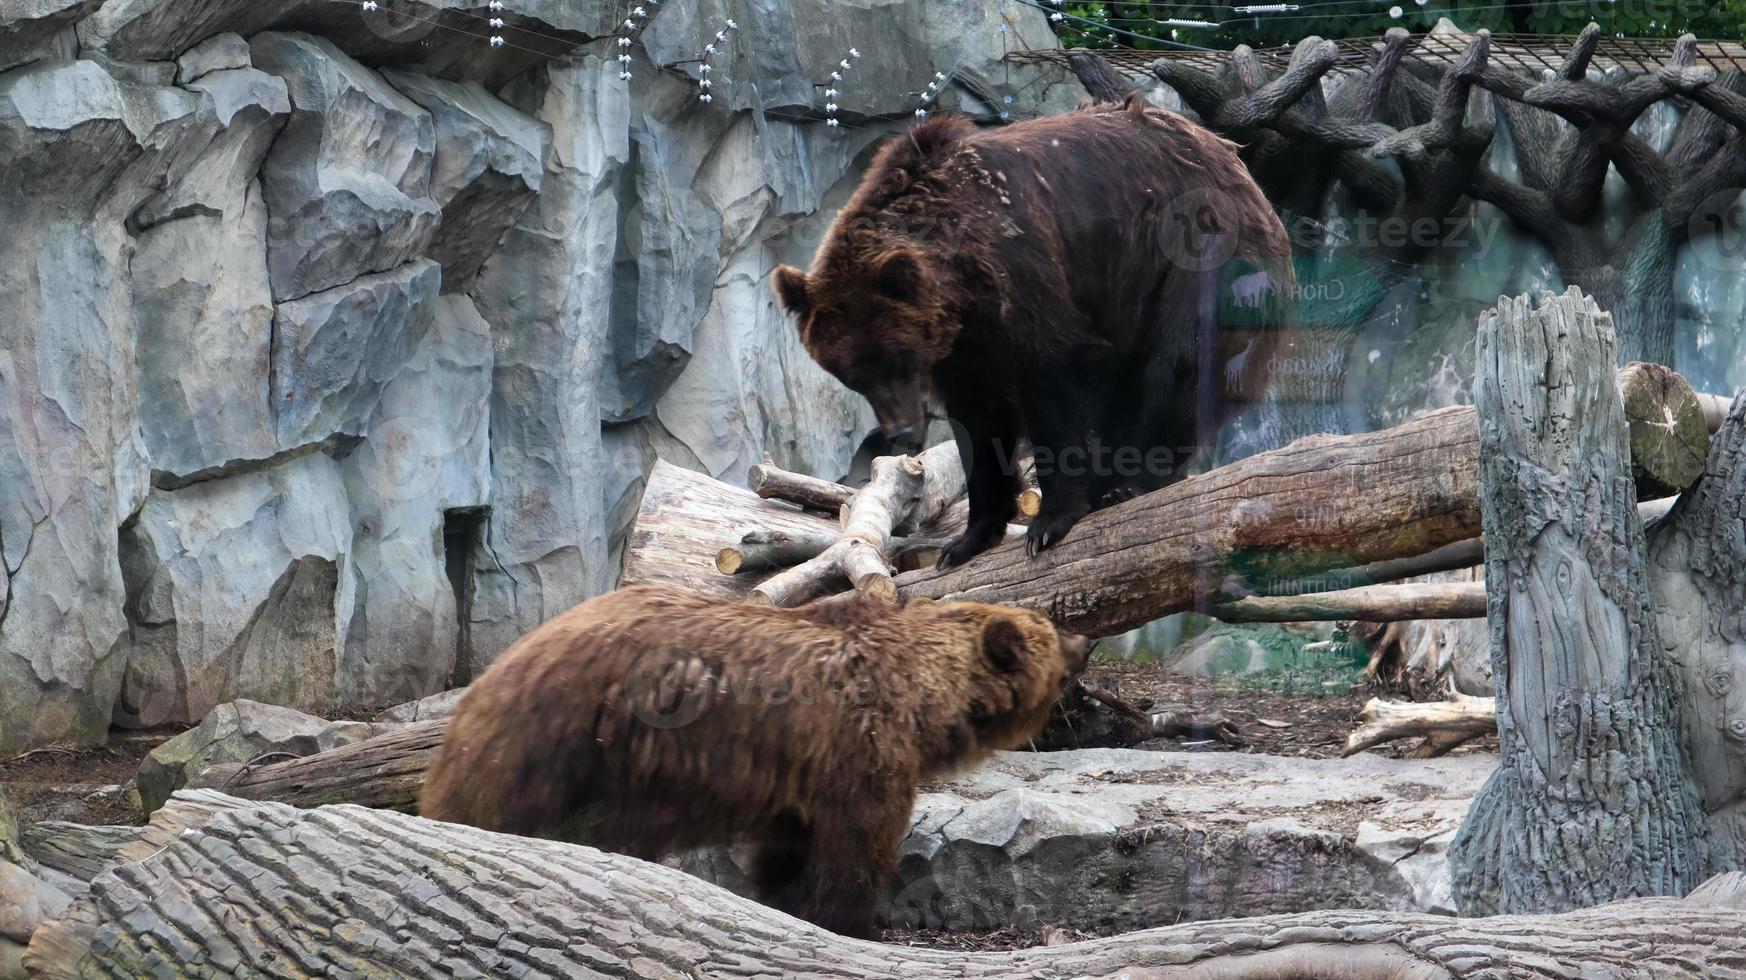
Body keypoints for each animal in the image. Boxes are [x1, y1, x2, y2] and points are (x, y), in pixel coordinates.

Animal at [415, 583, 1082, 936]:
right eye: (1047, 631)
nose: (1080, 642)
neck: (926, 699)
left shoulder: (800, 769)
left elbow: (788, 848)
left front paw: (784, 900)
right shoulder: (861, 750)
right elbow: (856, 846)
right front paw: (851, 920)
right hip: (563, 731)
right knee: (493, 796)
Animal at [771, 98, 1292, 565]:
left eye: (896, 358)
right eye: (852, 374)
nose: (900, 431)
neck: (959, 276)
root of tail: (1239, 165)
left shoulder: (1022, 273)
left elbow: (1056, 376)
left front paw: (1049, 522)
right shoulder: (965, 344)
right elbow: (978, 423)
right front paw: (966, 540)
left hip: (1199, 251)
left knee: (1180, 359)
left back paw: (1133, 480)